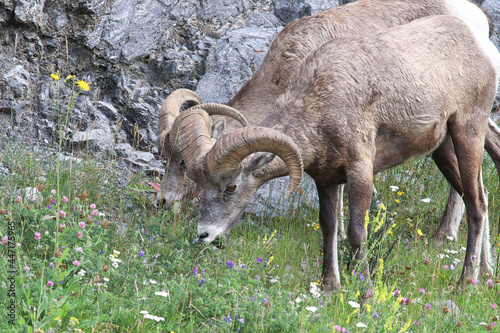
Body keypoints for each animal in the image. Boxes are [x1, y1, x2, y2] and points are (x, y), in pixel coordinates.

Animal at [175, 14, 500, 290]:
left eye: (230, 187)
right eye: (200, 184)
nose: (204, 234)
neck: (320, 103)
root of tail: (479, 42)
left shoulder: (360, 172)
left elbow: (356, 232)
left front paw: (365, 292)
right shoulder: (327, 180)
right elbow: (329, 228)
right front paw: (330, 287)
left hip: (467, 132)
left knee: (476, 204)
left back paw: (465, 284)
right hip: (442, 149)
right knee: (480, 196)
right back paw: (485, 274)